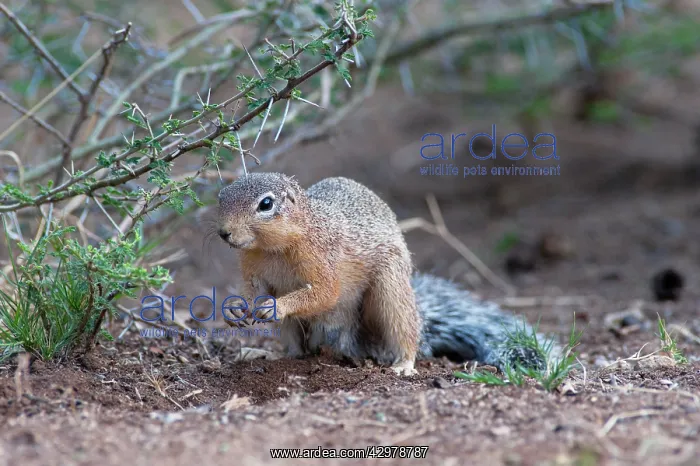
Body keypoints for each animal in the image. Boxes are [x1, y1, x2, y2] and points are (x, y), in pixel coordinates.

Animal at [216, 172, 551, 375]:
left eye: (266, 204)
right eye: (220, 197)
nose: (224, 233)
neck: (272, 248)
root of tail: (352, 340)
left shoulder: (323, 259)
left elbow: (325, 292)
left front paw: (277, 305)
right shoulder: (253, 270)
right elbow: (253, 292)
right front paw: (234, 310)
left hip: (390, 290)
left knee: (405, 330)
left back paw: (403, 363)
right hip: (294, 331)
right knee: (298, 349)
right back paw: (279, 356)